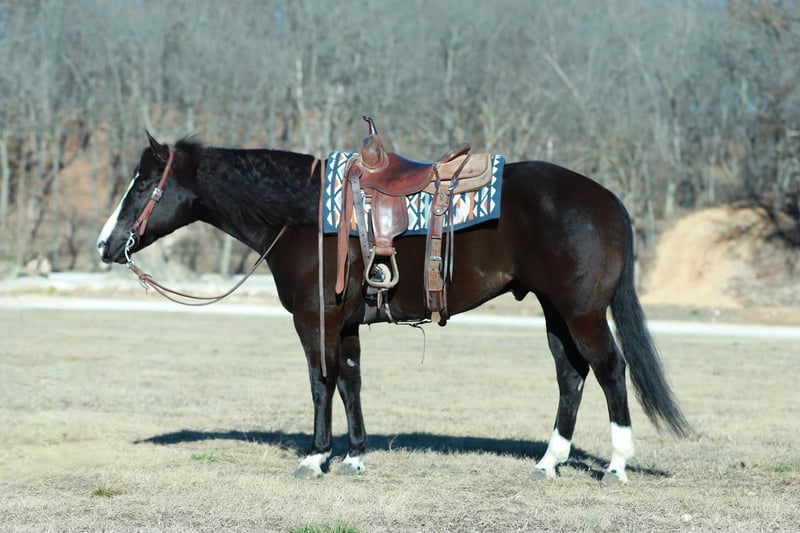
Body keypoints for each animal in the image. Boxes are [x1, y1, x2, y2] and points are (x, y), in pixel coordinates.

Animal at [96, 131, 691, 484]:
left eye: (143, 184)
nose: (105, 244)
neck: (305, 215)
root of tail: (607, 199)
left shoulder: (315, 320)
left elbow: (321, 382)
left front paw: (316, 456)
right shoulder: (346, 324)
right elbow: (350, 381)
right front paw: (355, 454)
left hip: (583, 313)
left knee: (610, 370)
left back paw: (616, 464)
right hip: (556, 313)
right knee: (571, 375)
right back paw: (549, 462)